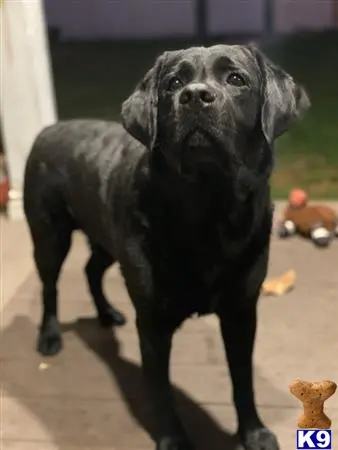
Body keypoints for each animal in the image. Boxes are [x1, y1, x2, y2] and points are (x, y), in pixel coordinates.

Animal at [23, 43, 308, 450]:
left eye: (236, 78)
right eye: (174, 83)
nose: (195, 96)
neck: (207, 211)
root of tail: (49, 128)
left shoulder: (241, 313)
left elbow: (243, 382)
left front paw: (253, 432)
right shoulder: (153, 324)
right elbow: (161, 391)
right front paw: (173, 439)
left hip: (106, 240)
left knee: (91, 269)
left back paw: (107, 314)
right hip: (49, 236)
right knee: (50, 285)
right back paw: (49, 337)